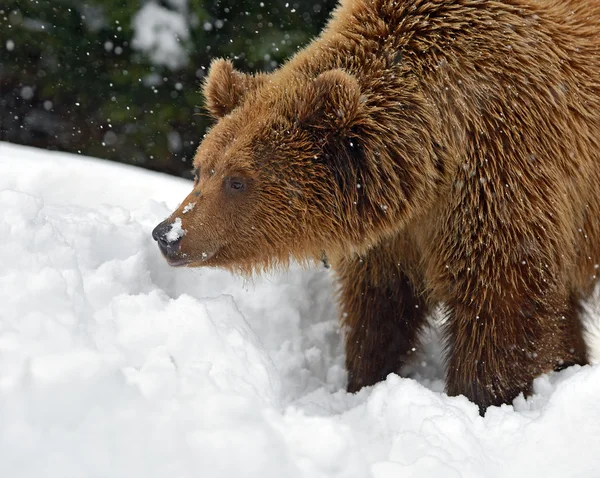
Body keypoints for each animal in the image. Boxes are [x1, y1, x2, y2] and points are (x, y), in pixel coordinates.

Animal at [154, 0, 600, 410]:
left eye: (237, 180)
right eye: (201, 169)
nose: (168, 233)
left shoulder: (499, 169)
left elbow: (500, 297)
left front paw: (479, 396)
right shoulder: (394, 236)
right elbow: (379, 308)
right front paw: (365, 381)